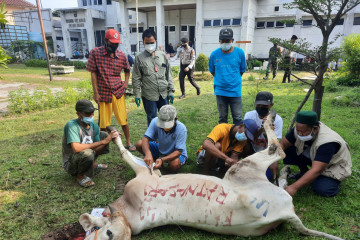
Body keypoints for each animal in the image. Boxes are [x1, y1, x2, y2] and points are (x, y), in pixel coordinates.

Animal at [80, 117, 344, 239]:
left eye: (108, 234)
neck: (129, 211)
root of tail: (287, 213)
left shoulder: (147, 175)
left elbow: (130, 155)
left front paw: (113, 134)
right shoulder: (147, 178)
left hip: (240, 169)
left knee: (277, 151)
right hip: (241, 172)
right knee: (277, 154)